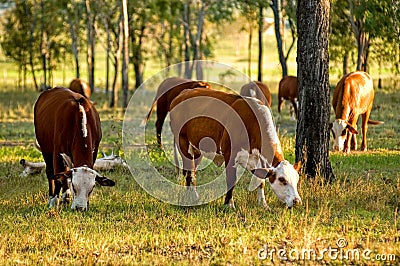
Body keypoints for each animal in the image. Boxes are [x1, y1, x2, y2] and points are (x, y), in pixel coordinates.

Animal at [167, 88, 302, 209]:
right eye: (282, 180)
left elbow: (261, 182)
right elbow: (231, 179)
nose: (297, 201)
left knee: (192, 171)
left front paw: (263, 204)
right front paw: (229, 205)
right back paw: (193, 198)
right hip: (183, 143)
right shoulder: (230, 155)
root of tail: (184, 92)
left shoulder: (258, 161)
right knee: (189, 171)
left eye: (297, 179)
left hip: (197, 149)